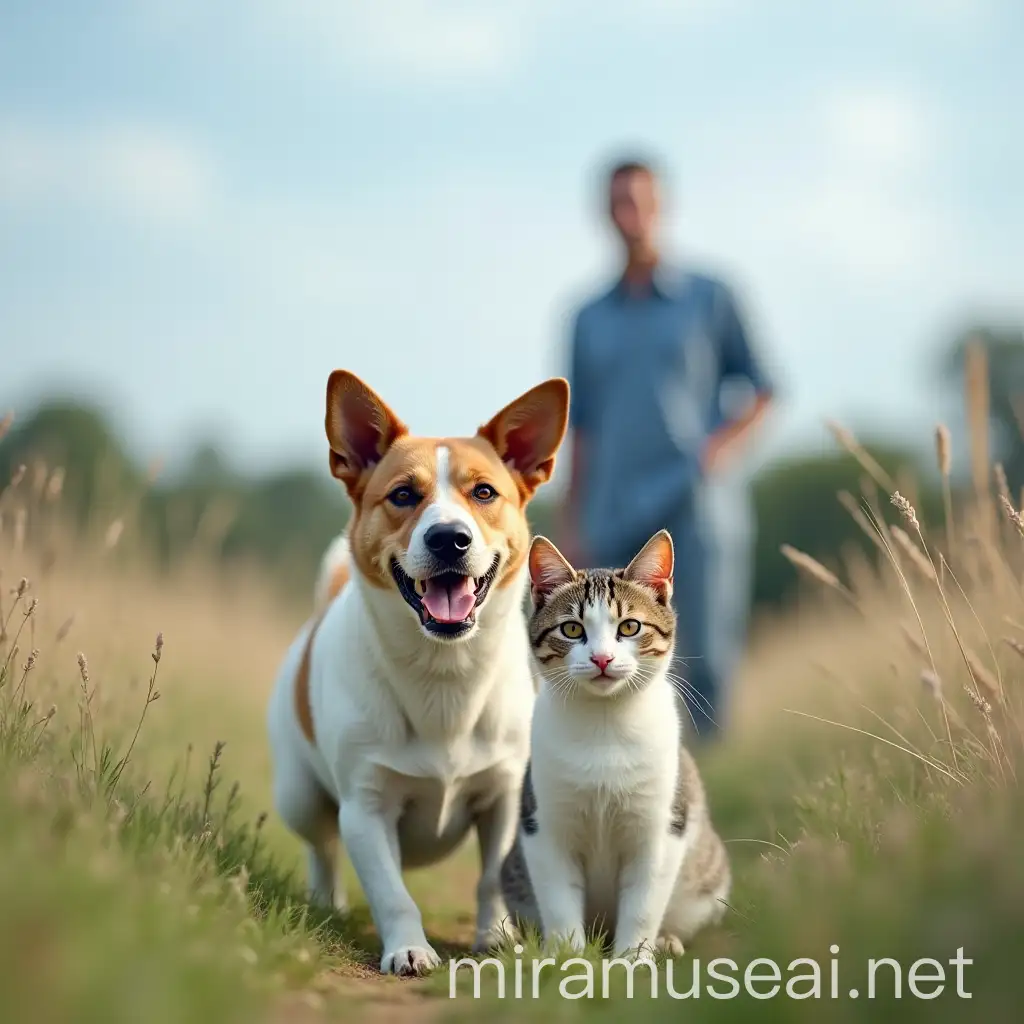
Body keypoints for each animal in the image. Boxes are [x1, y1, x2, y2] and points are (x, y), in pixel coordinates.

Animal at [266, 368, 569, 974]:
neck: (444, 677)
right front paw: (408, 949)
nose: (448, 538)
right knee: (320, 847)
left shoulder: (503, 799)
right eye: (403, 495)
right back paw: (325, 902)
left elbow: (490, 879)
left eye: (484, 492)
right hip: (299, 795)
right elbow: (392, 892)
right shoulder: (365, 807)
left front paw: (495, 936)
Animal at [499, 528, 733, 958]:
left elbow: (643, 903)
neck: (605, 725)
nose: (603, 659)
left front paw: (632, 958)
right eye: (572, 629)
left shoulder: (660, 828)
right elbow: (559, 900)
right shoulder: (544, 827)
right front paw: (568, 956)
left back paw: (666, 942)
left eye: (629, 627)